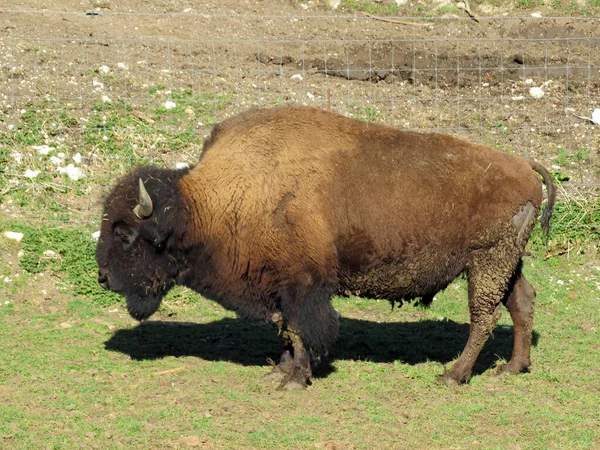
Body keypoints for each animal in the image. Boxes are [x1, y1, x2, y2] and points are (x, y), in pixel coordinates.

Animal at [96, 105, 556, 390]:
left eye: (124, 233)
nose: (103, 278)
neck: (210, 202)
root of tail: (524, 165)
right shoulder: (279, 287)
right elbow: (286, 330)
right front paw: (278, 372)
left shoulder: (304, 286)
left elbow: (303, 330)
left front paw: (295, 379)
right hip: (505, 262)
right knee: (521, 301)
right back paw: (512, 368)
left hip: (486, 262)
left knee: (484, 315)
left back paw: (453, 375)